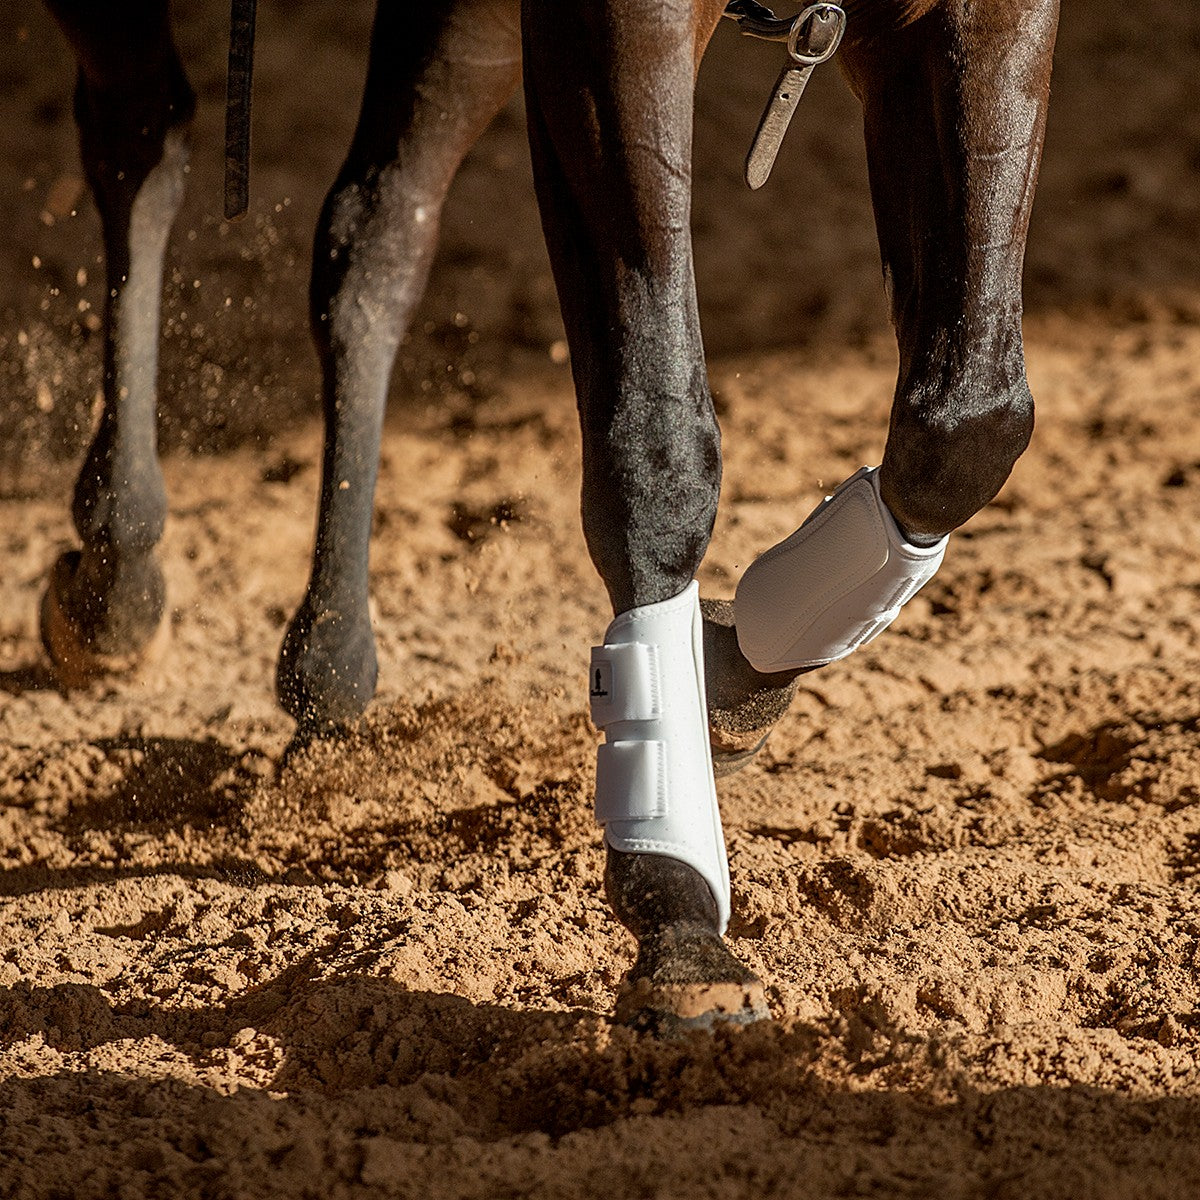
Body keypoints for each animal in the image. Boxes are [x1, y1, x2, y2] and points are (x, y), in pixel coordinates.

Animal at [39, 0, 1059, 1031]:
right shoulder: (608, 32)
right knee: (142, 134)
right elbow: (655, 446)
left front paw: (727, 672)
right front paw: (675, 895)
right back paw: (115, 577)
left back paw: (325, 671)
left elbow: (965, 427)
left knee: (375, 238)